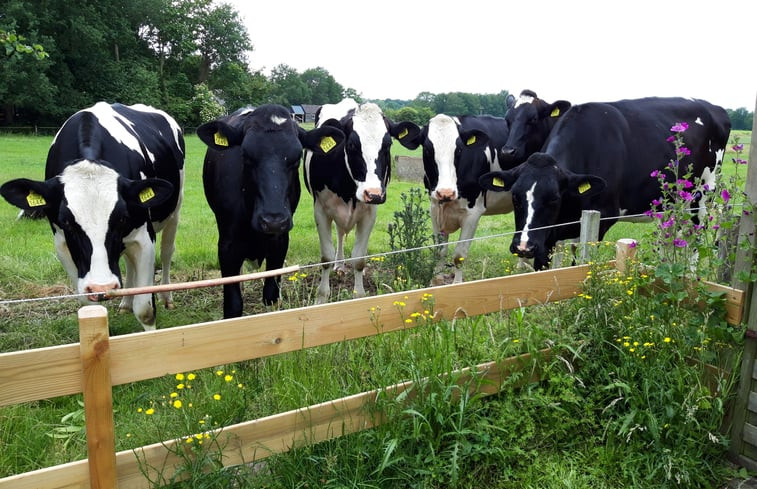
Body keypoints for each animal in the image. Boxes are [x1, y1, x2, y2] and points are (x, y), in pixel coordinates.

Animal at [1, 103, 185, 332]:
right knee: (128, 262)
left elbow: (144, 309)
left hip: (175, 209)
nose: (102, 286)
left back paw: (166, 297)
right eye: (66, 221)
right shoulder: (62, 244)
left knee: (167, 251)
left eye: (122, 217)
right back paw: (125, 302)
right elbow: (89, 306)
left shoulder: (144, 237)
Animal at [198, 104, 346, 316]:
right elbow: (233, 306)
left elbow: (271, 297)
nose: (273, 221)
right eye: (245, 155)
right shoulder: (227, 245)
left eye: (297, 158)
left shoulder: (280, 241)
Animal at [302, 97, 420, 304]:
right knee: (340, 235)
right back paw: (339, 265)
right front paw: (321, 298)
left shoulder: (369, 213)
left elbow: (358, 259)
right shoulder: (320, 210)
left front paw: (359, 295)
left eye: (388, 145)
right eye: (351, 145)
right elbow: (326, 257)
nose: (373, 193)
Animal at [396, 113, 512, 282]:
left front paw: (456, 283)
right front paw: (436, 279)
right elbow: (439, 250)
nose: (446, 192)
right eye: (428, 150)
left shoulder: (473, 213)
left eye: (459, 151)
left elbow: (459, 256)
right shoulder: (434, 207)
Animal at [478, 96, 732, 268]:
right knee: (668, 237)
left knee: (695, 240)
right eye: (515, 196)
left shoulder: (601, 217)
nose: (523, 246)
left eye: (553, 199)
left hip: (702, 197)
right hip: (669, 204)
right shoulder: (547, 235)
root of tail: (716, 108)